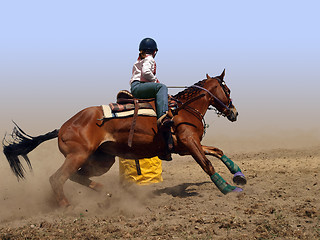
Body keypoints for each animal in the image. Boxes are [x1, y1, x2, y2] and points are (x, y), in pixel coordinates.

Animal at [3, 69, 246, 206]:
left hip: (101, 160)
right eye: (228, 90)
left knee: (78, 176)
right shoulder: (189, 143)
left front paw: (239, 175)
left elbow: (217, 152)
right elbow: (207, 164)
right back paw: (66, 205)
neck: (183, 110)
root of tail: (62, 128)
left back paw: (106, 193)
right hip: (78, 156)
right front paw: (229, 189)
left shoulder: (186, 146)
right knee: (57, 178)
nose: (234, 113)